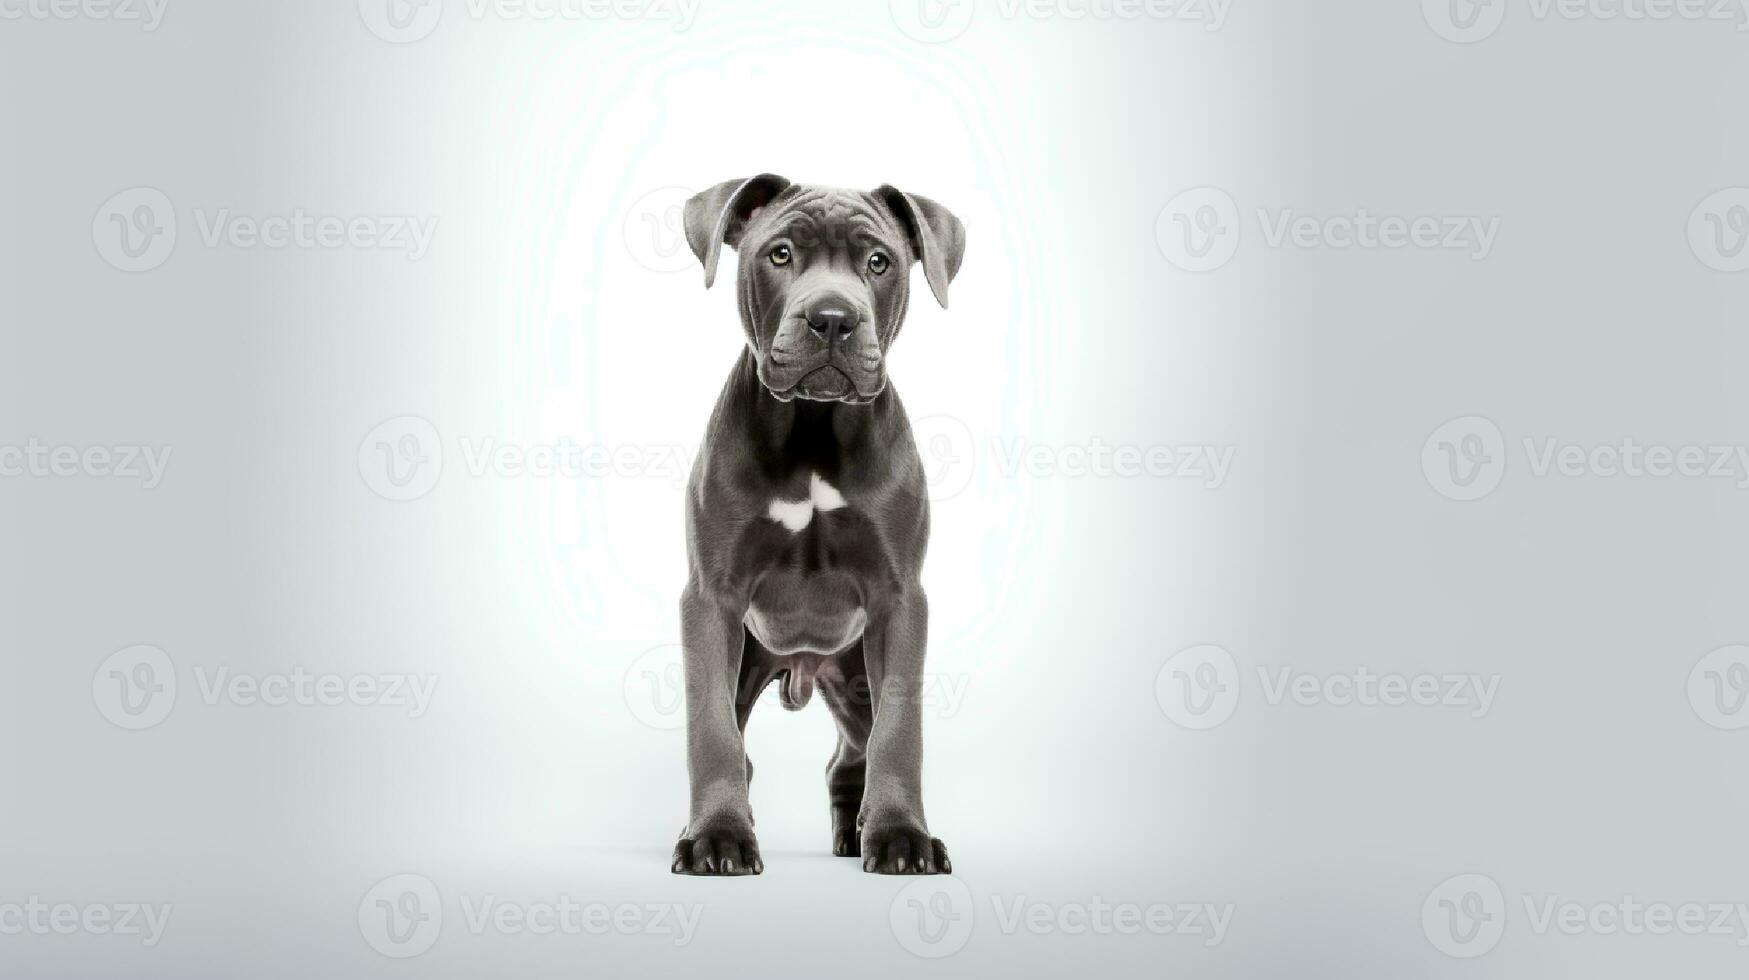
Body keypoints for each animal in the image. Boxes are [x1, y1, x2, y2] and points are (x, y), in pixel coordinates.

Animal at [671, 172, 972, 875]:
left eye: (879, 262)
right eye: (779, 254)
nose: (833, 318)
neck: (811, 429)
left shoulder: (898, 600)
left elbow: (900, 733)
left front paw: (903, 835)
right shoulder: (711, 599)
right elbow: (711, 732)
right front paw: (717, 837)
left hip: (855, 676)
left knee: (855, 752)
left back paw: (861, 830)